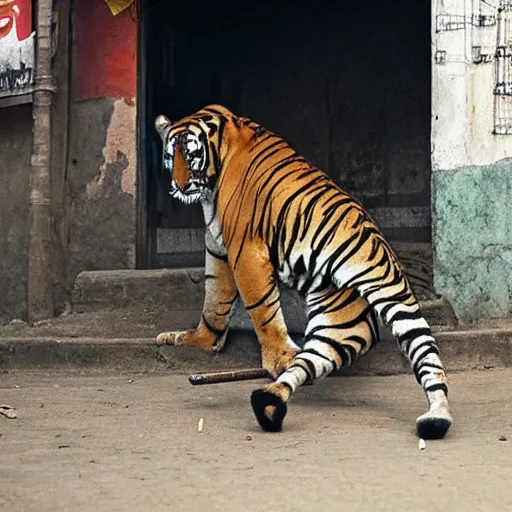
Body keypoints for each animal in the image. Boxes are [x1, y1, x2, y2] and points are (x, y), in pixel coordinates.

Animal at [155, 105, 452, 440]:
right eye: (172, 156)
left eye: (192, 156)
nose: (180, 186)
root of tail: (377, 252)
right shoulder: (218, 246)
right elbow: (214, 299)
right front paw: (200, 340)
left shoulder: (244, 248)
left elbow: (253, 306)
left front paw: (265, 353)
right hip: (342, 322)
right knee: (312, 361)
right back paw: (269, 404)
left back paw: (280, 369)